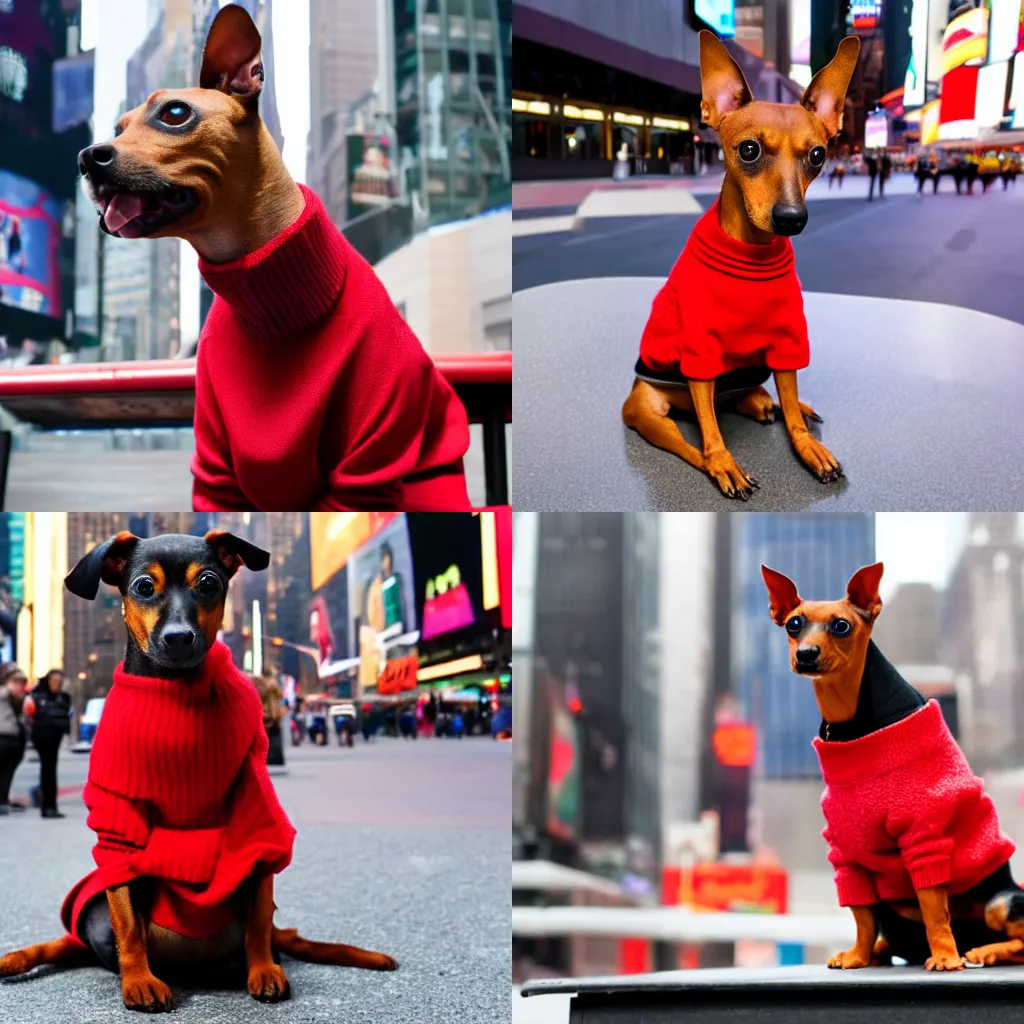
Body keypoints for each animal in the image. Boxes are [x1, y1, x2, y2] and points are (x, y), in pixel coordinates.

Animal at [618, 36, 860, 503]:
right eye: (749, 149)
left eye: (818, 155)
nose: (791, 218)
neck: (751, 255)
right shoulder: (700, 352)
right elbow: (711, 432)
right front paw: (725, 463)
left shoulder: (787, 340)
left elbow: (792, 404)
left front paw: (806, 443)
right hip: (649, 411)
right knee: (691, 438)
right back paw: (719, 455)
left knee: (761, 397)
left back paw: (767, 402)